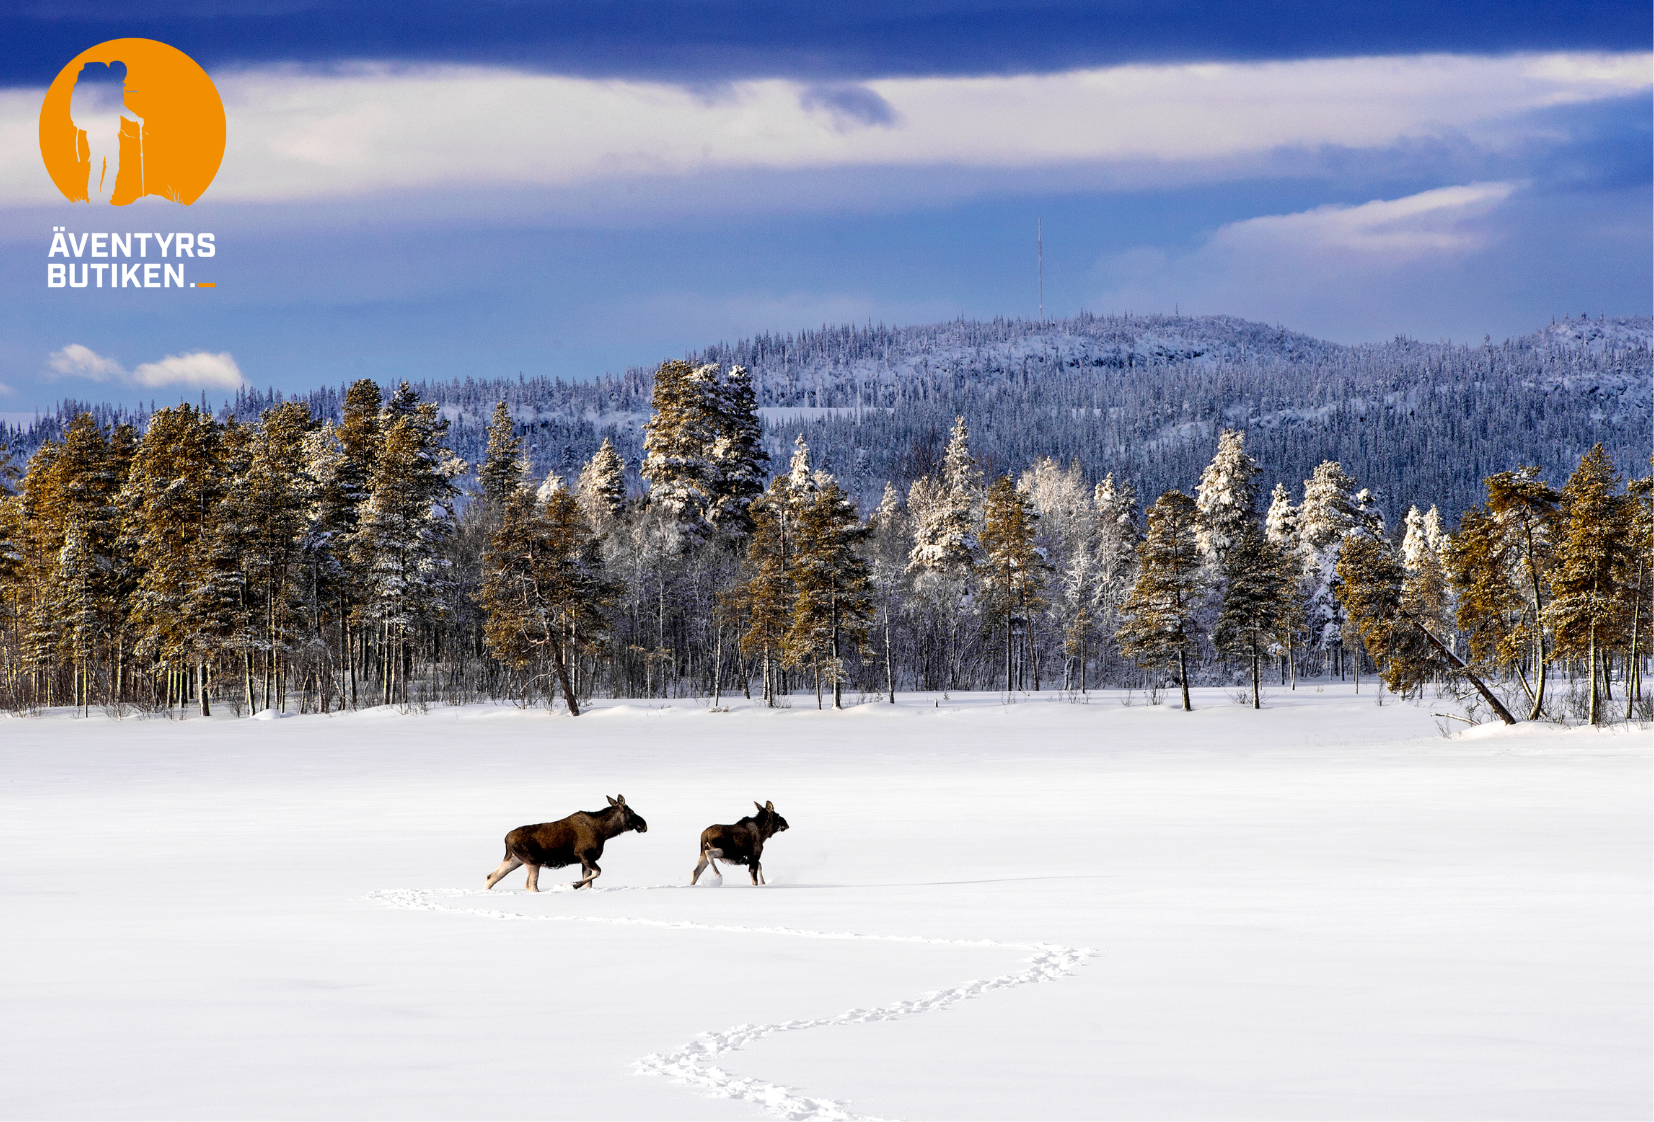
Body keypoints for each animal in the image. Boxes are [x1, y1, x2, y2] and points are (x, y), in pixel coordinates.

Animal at [482, 794, 645, 893]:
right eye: (631, 812)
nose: (644, 825)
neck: (605, 832)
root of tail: (506, 839)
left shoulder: (585, 860)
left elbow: (590, 882)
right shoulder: (583, 854)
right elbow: (597, 872)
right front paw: (574, 884)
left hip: (515, 860)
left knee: (491, 876)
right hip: (532, 861)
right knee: (530, 885)